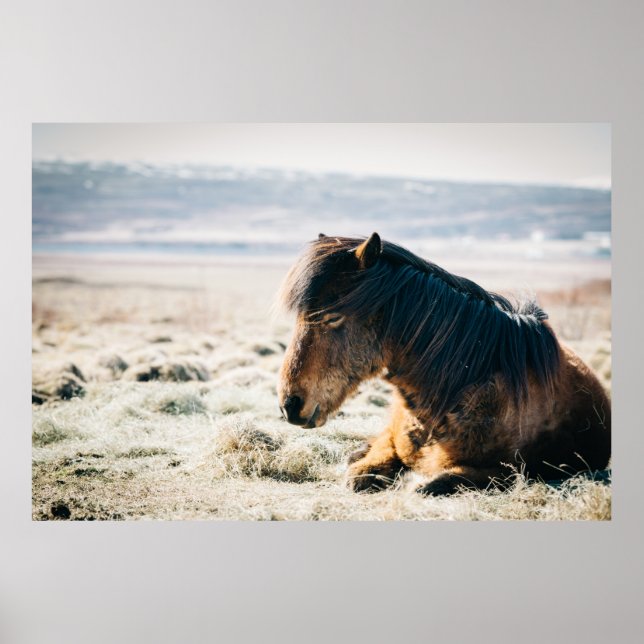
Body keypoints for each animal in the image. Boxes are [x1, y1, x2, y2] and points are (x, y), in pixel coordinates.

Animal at [277, 233, 611, 495]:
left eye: (333, 316)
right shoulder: (391, 443)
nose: (290, 405)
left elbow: (434, 483)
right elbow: (360, 472)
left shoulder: (510, 471)